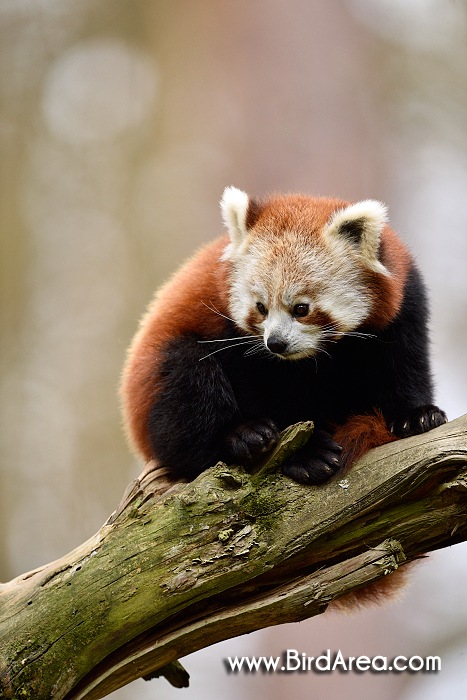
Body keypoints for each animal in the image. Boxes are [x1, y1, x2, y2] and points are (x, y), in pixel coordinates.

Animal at [119, 189, 446, 484]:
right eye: (261, 308)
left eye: (301, 308)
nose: (275, 343)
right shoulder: (230, 334)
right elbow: (263, 393)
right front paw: (306, 453)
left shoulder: (403, 305)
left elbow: (404, 364)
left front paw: (415, 415)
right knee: (186, 379)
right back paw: (241, 436)